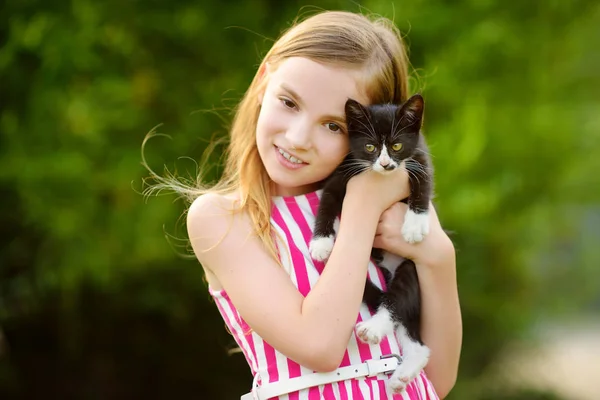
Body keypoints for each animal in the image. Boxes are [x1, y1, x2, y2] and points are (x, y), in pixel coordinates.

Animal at [310, 94, 432, 394]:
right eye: (370, 147)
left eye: (397, 145)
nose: (386, 164)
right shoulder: (342, 172)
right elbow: (326, 202)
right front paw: (321, 242)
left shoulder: (419, 156)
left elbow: (423, 183)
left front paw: (414, 225)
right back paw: (401, 372)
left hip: (411, 268)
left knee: (397, 301)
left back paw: (374, 331)